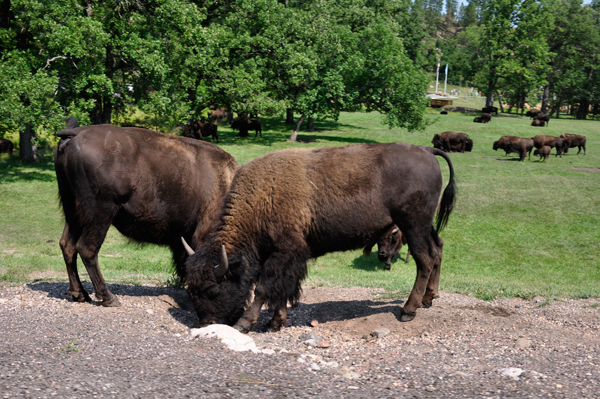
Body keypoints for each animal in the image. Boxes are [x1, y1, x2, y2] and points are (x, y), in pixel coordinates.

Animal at [53, 125, 237, 306]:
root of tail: (76, 133)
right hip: (100, 214)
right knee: (87, 249)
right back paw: (109, 298)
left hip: (73, 211)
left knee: (67, 245)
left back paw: (80, 294)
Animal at [183, 144, 454, 334]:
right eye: (191, 290)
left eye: (213, 289)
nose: (207, 323)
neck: (261, 197)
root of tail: (426, 150)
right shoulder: (289, 256)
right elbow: (284, 288)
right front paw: (274, 323)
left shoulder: (285, 251)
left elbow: (264, 287)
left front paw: (245, 323)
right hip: (424, 225)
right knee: (438, 249)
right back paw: (429, 299)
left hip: (413, 224)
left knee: (424, 260)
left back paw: (408, 310)